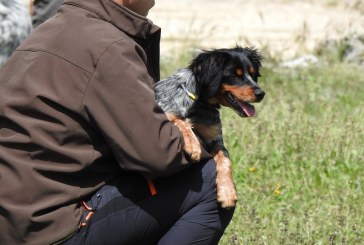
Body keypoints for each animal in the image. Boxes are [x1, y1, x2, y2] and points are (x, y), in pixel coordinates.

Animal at [154, 46, 264, 209]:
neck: (200, 104)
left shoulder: (216, 141)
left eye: (253, 73)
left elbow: (225, 160)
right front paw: (193, 145)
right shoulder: (164, 111)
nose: (261, 93)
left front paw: (228, 193)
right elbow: (180, 120)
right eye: (235, 75)